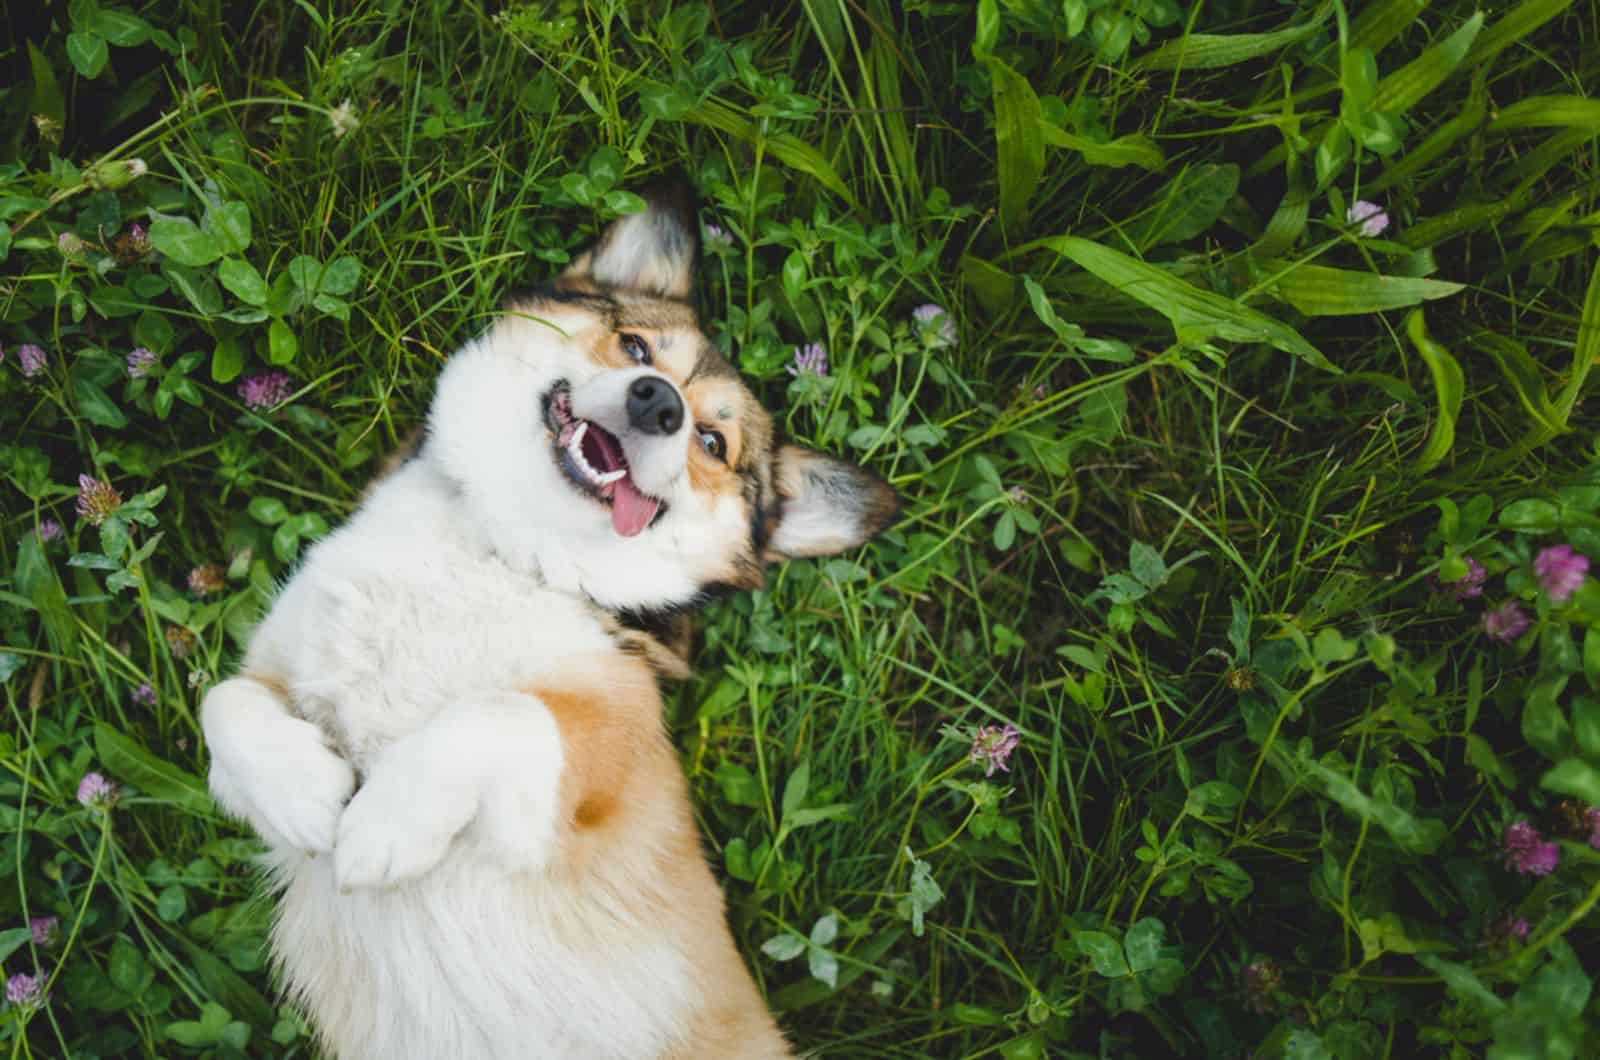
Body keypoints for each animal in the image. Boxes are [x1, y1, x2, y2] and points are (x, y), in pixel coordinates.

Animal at [198, 192, 896, 1060]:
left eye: (711, 442)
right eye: (636, 347)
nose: (658, 403)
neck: (502, 548)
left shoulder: (590, 782)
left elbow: (499, 714)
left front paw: (384, 826)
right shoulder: (268, 682)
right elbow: (223, 703)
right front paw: (303, 795)